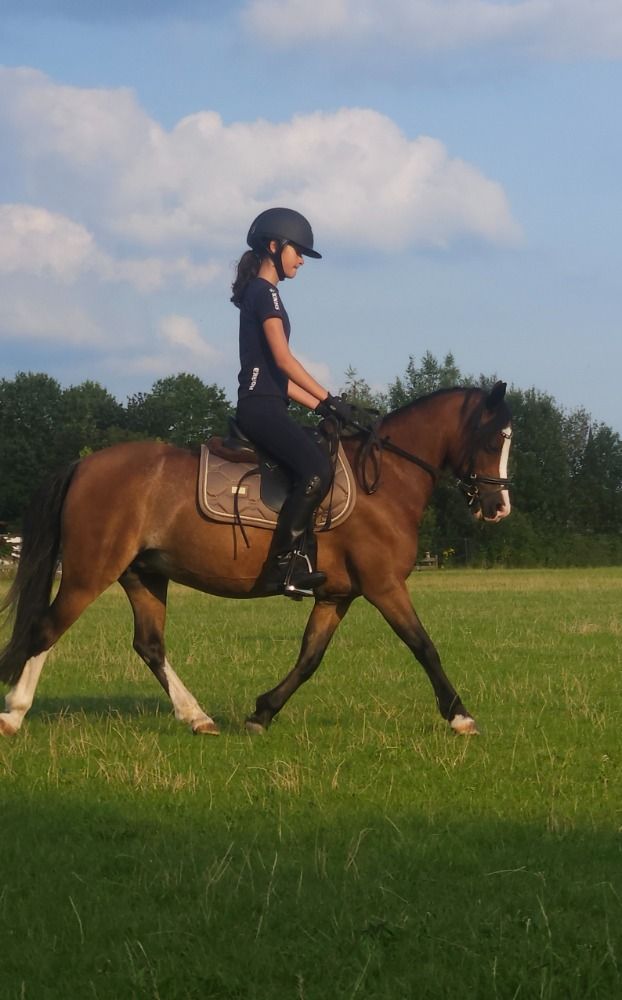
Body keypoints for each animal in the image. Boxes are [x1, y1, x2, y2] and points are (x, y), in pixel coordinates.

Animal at [0, 382, 512, 739]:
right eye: (494, 439)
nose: (497, 507)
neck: (385, 482)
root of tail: (83, 465)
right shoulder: (384, 586)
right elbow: (423, 645)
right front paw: (461, 717)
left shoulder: (337, 595)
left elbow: (310, 656)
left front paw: (262, 712)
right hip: (89, 573)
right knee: (46, 630)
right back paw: (14, 714)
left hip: (142, 575)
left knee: (150, 646)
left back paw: (198, 717)